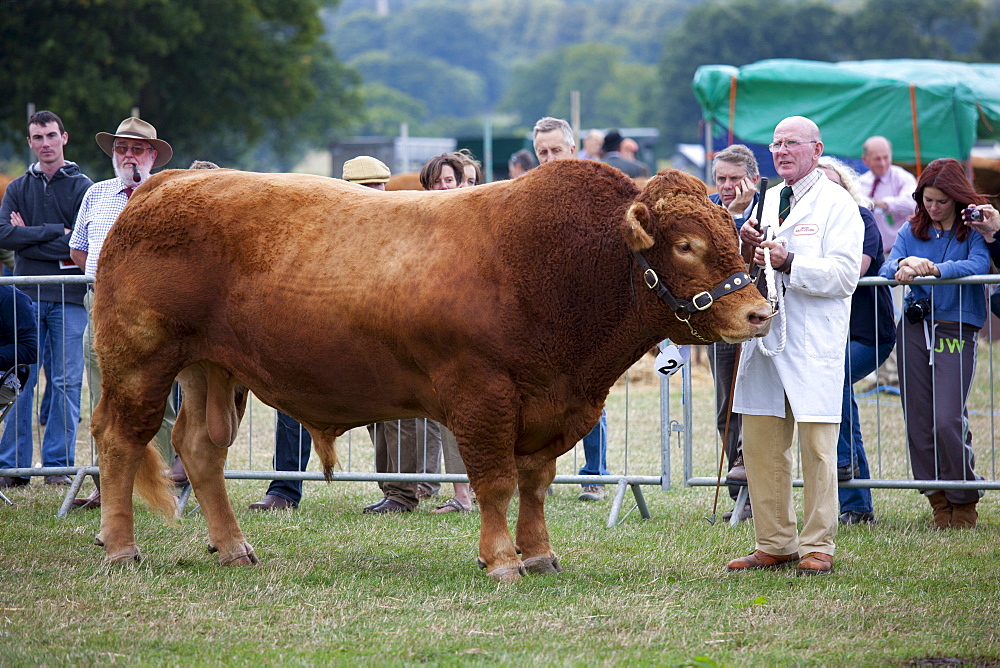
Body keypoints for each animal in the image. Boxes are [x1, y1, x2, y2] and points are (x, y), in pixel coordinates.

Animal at [92, 160, 764, 580]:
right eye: (685, 245)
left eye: (734, 234)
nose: (759, 311)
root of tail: (165, 184)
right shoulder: (481, 395)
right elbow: (494, 482)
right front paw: (502, 560)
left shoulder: (551, 406)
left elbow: (535, 484)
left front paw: (540, 555)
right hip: (140, 360)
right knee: (120, 439)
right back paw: (121, 548)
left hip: (211, 369)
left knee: (201, 449)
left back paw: (233, 548)